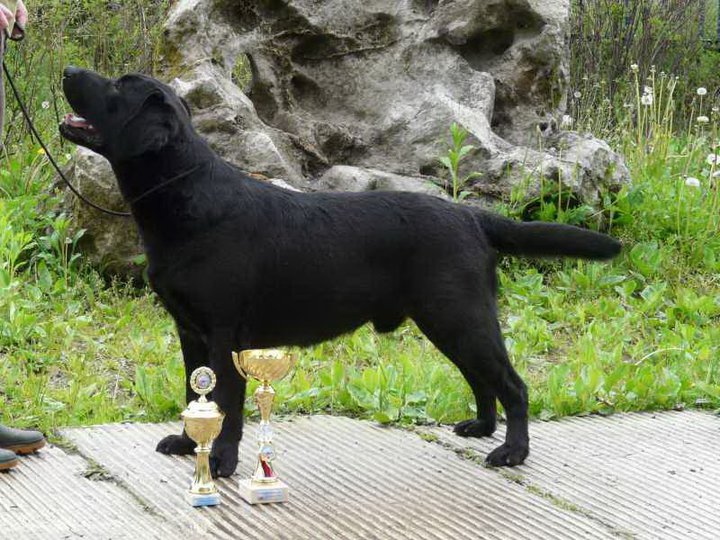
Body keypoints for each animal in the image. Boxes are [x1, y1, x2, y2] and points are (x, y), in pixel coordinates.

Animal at [60, 66, 621, 477]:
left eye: (118, 88)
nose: (68, 70)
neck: (185, 196)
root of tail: (472, 215)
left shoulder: (223, 335)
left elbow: (229, 405)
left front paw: (219, 462)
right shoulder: (189, 331)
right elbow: (192, 392)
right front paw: (185, 440)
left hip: (461, 316)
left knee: (512, 384)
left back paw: (511, 452)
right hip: (448, 321)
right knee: (482, 379)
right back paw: (481, 428)